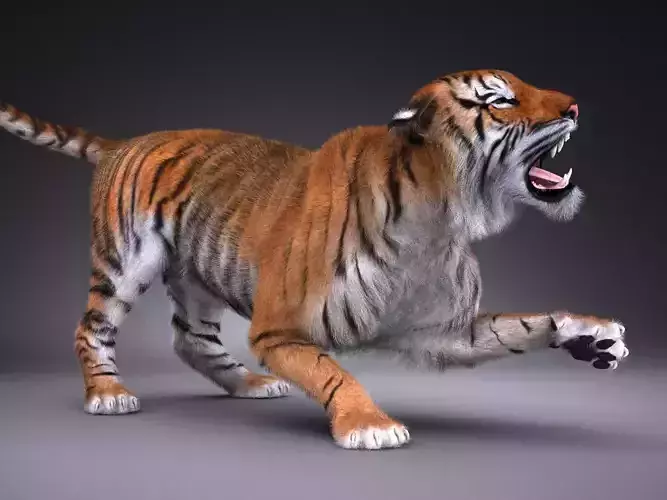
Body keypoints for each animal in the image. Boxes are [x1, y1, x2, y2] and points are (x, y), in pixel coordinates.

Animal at [0, 69, 629, 451]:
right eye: (501, 99)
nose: (576, 106)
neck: (438, 215)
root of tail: (124, 142)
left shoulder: (442, 331)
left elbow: (517, 326)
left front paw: (591, 333)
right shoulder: (278, 328)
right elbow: (333, 372)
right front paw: (370, 425)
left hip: (199, 278)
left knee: (191, 339)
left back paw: (250, 385)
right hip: (125, 265)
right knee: (92, 328)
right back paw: (107, 394)